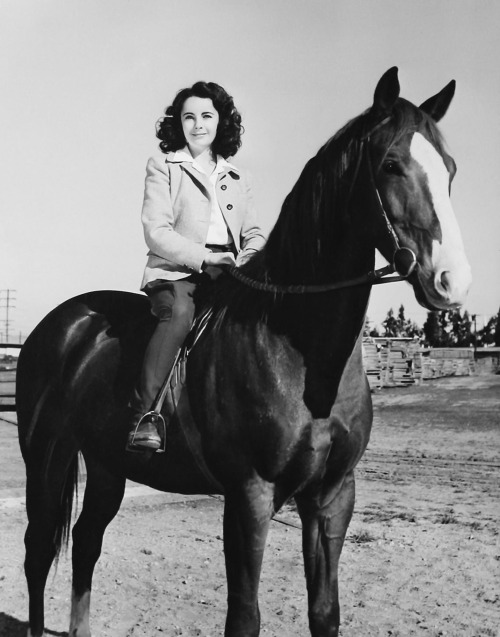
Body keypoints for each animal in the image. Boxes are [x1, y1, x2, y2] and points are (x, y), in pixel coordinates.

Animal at [16, 67, 468, 632]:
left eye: (450, 168)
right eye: (391, 164)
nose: (452, 281)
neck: (301, 354)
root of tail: (59, 325)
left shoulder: (332, 497)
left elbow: (324, 612)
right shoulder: (249, 496)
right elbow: (244, 616)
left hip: (105, 464)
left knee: (85, 542)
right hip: (47, 457)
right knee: (38, 551)